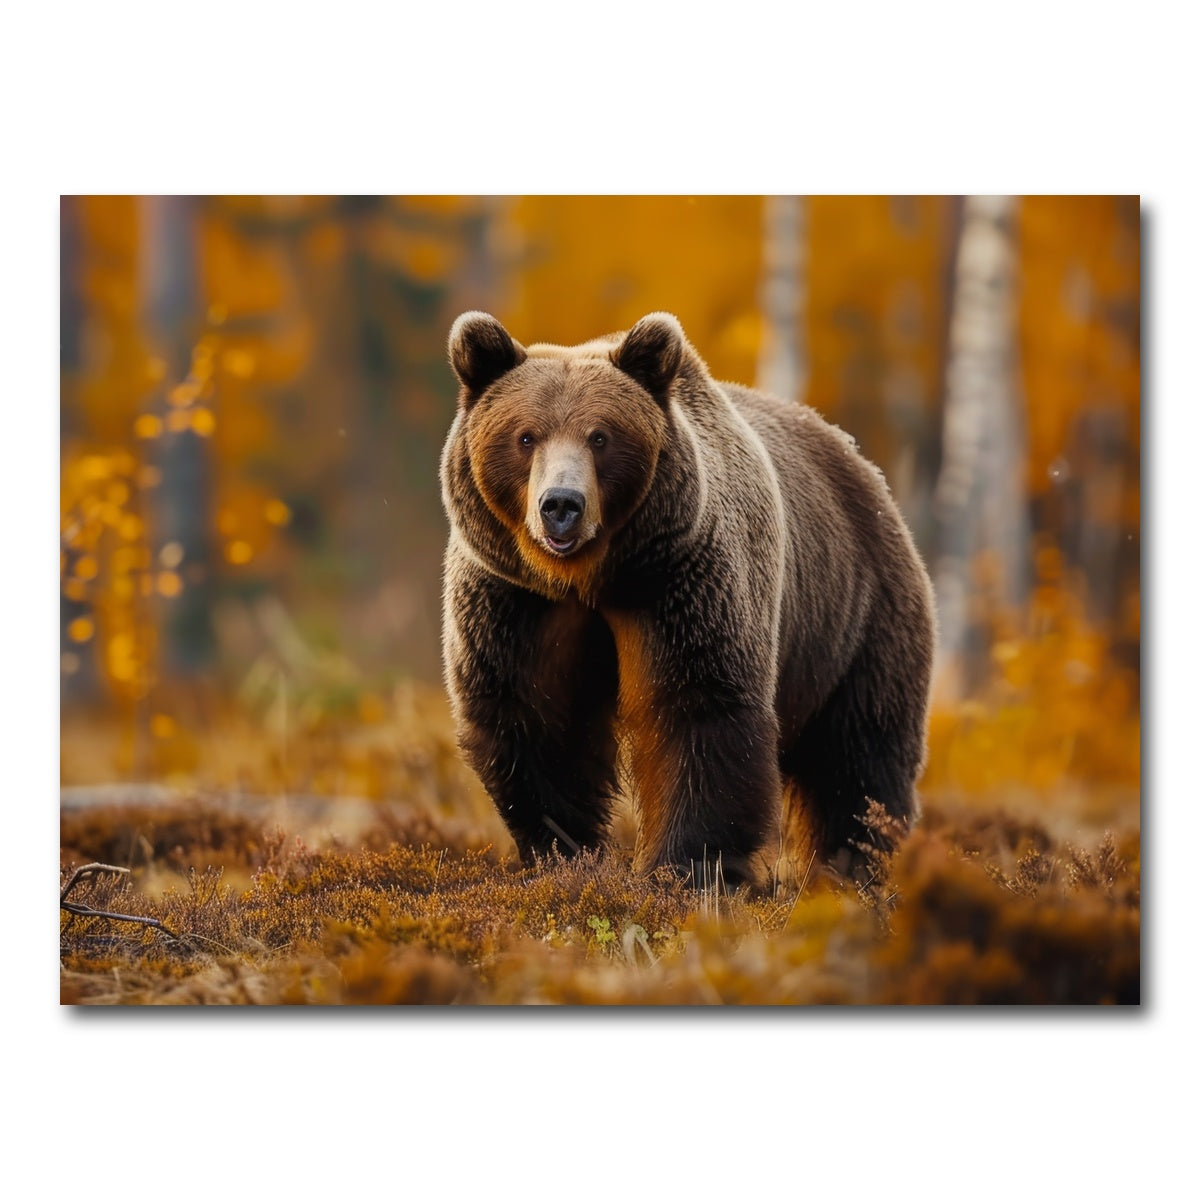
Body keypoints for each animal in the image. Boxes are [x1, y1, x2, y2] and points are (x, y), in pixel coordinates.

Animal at [439, 310, 935, 888]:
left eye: (601, 436)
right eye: (525, 436)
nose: (561, 505)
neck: (592, 578)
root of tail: (860, 463)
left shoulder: (681, 583)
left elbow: (697, 708)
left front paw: (685, 867)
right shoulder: (517, 602)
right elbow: (536, 718)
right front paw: (564, 852)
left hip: (858, 616)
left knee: (860, 753)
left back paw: (857, 863)